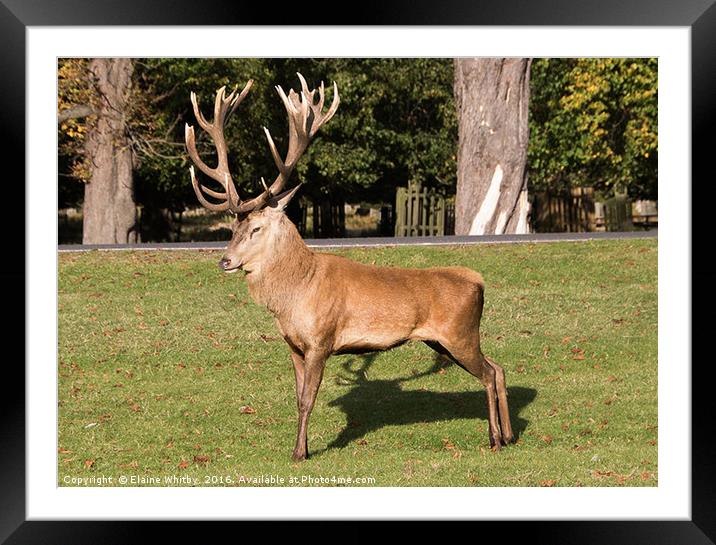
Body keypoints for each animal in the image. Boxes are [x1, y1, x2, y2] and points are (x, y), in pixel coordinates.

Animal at [183, 74, 510, 462]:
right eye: (233, 228)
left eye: (257, 228)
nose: (225, 260)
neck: (294, 295)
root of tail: (479, 282)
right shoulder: (294, 346)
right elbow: (297, 397)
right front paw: (303, 447)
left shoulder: (320, 340)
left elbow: (307, 400)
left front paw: (299, 453)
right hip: (444, 341)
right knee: (499, 367)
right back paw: (509, 435)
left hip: (459, 334)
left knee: (488, 373)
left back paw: (494, 439)